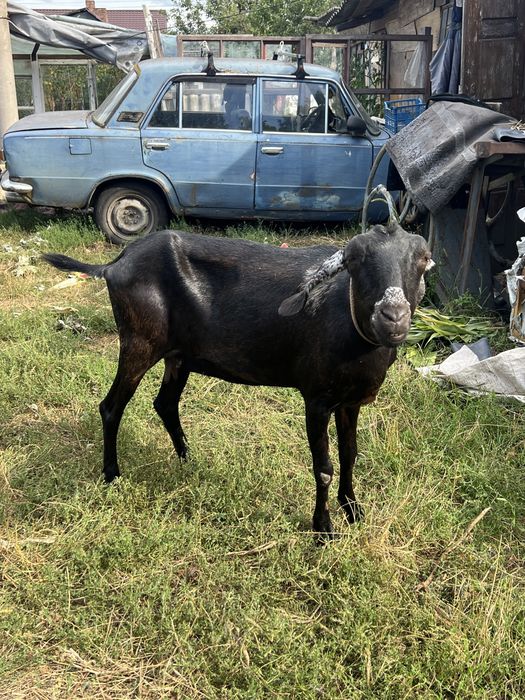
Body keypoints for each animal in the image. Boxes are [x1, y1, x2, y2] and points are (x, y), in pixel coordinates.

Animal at [43, 223, 433, 539]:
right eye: (354, 259)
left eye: (422, 259)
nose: (393, 317)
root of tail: (115, 263)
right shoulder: (317, 399)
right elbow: (324, 468)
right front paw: (323, 529)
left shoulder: (350, 401)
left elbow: (350, 455)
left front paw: (353, 510)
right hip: (140, 340)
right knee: (111, 407)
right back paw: (112, 474)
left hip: (179, 354)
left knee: (165, 403)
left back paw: (188, 460)